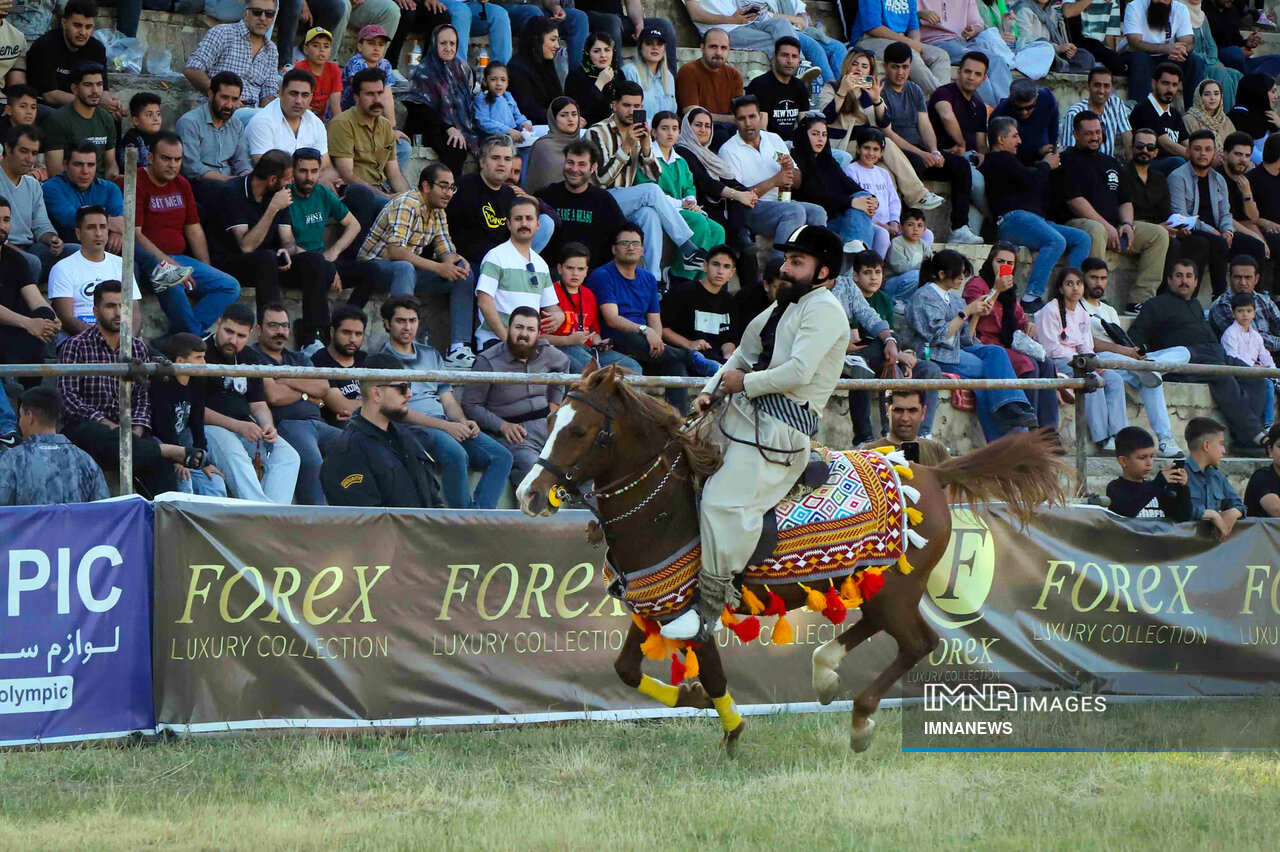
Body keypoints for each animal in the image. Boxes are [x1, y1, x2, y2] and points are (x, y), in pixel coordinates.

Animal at [516, 363, 1068, 754]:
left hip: (899, 589)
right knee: (879, 629)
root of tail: (930, 474)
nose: (528, 494)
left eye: (581, 432)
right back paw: (825, 672)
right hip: (879, 586)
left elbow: (714, 676)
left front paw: (731, 731)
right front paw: (691, 698)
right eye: (551, 420)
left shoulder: (694, 612)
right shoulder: (656, 606)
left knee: (919, 642)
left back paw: (859, 719)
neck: (669, 508)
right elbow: (626, 669)